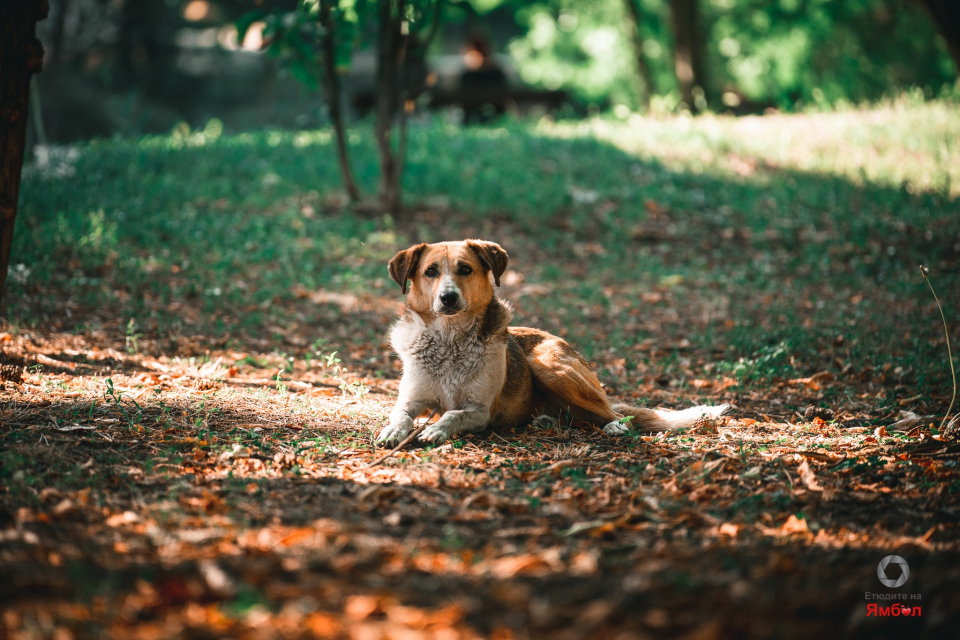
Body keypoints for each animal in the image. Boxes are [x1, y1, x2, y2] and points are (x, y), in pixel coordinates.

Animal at [374, 240, 728, 444]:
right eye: (431, 271)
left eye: (465, 269)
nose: (448, 298)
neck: (450, 340)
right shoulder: (412, 399)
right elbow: (400, 414)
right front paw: (392, 431)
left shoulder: (480, 410)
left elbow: (452, 415)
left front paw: (436, 430)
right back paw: (545, 419)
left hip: (549, 366)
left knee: (608, 412)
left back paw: (614, 426)